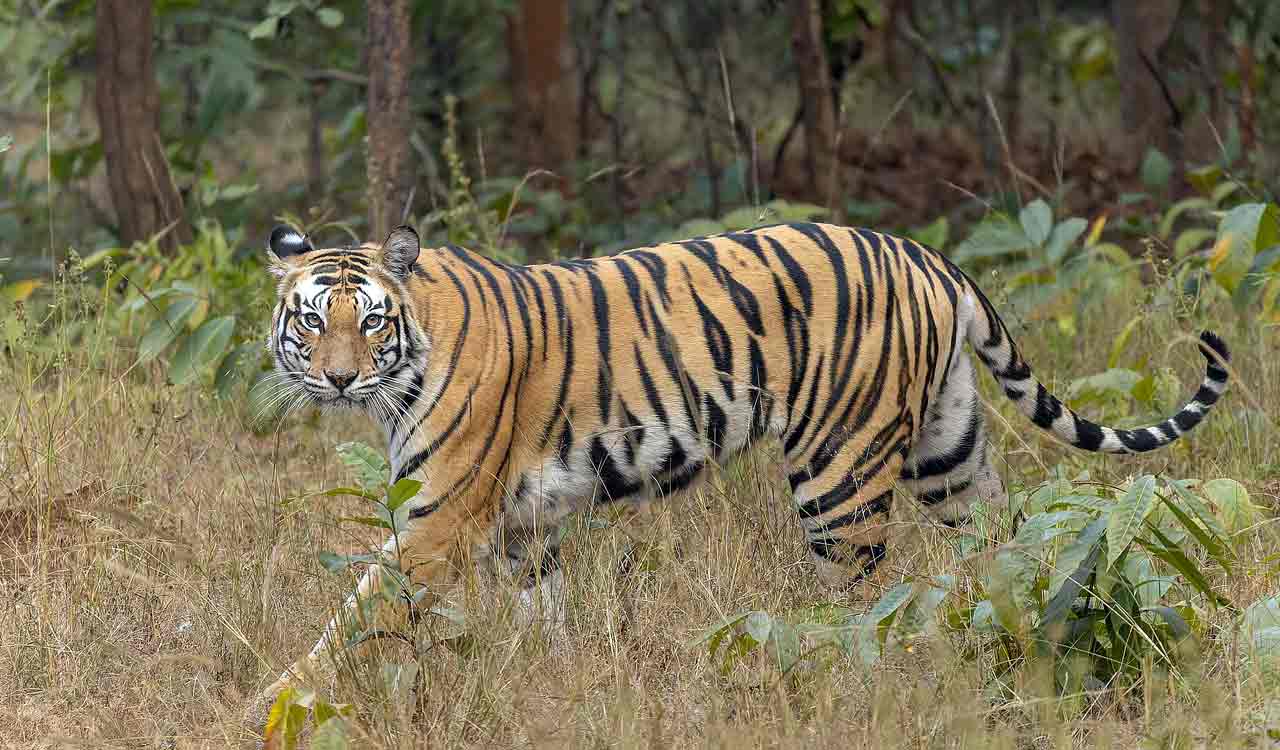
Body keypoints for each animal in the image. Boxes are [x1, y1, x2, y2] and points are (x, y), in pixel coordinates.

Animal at [259, 221, 1229, 700]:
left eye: (369, 322)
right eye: (312, 320)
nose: (338, 378)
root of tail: (927, 254)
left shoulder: (439, 519)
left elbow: (351, 619)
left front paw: (277, 701)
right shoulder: (524, 528)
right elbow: (548, 618)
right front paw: (560, 680)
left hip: (841, 474)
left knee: (862, 604)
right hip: (948, 454)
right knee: (1005, 549)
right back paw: (1014, 643)